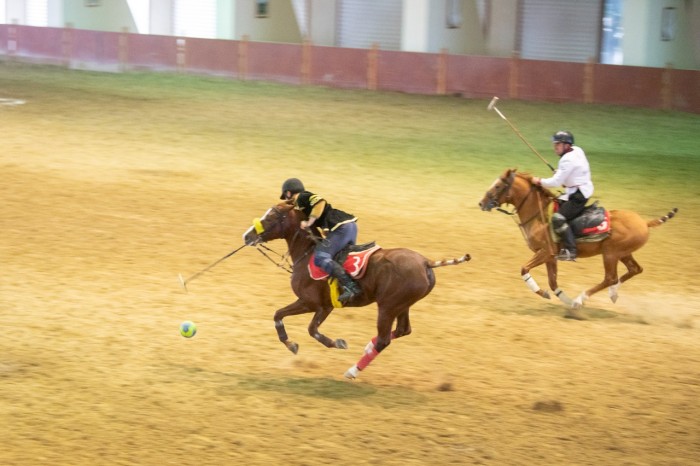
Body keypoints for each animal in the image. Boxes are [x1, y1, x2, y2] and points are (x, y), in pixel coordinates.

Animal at [242, 201, 470, 378]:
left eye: (272, 216)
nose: (247, 236)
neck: (307, 253)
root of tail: (425, 262)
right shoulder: (322, 306)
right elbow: (283, 317)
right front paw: (292, 344)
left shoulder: (313, 304)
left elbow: (307, 327)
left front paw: (335, 343)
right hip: (402, 305)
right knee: (403, 330)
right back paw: (368, 346)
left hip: (387, 307)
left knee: (385, 339)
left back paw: (353, 370)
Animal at [478, 169, 676, 318]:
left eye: (498, 186)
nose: (481, 203)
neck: (539, 216)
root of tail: (645, 222)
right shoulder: (551, 257)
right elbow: (553, 283)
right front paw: (565, 300)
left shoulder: (545, 253)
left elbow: (524, 269)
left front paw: (548, 295)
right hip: (623, 253)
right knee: (635, 269)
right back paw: (612, 293)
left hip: (610, 253)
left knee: (610, 277)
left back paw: (581, 299)